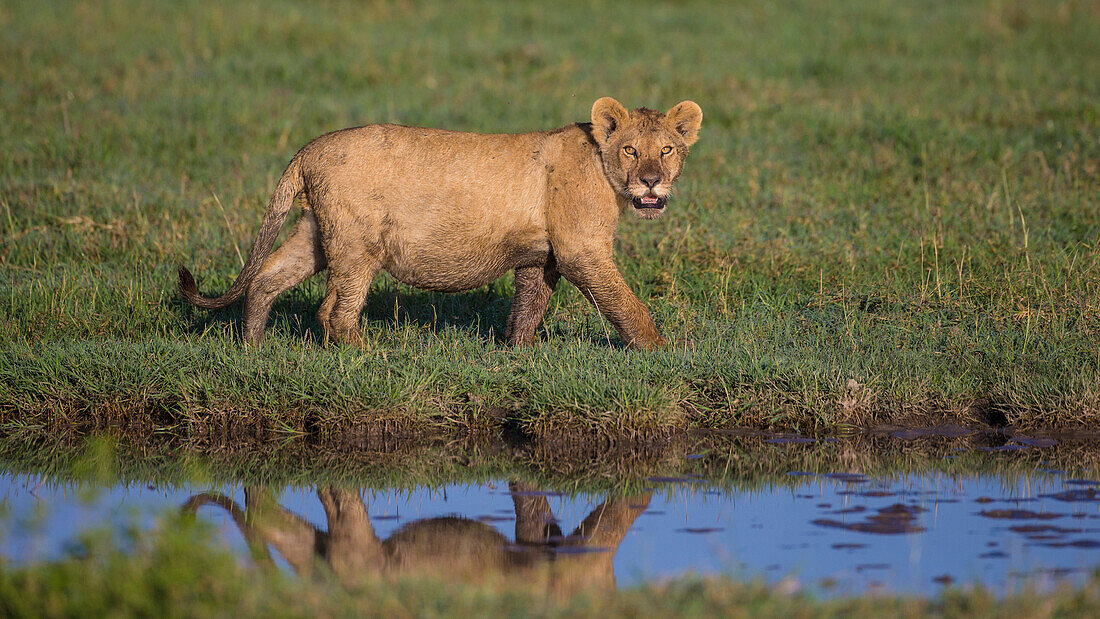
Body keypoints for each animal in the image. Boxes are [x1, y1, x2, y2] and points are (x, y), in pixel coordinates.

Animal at [176, 96, 699, 349]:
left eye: (666, 149)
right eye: (630, 149)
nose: (651, 181)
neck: (604, 170)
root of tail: (309, 148)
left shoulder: (541, 256)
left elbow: (528, 309)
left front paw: (516, 357)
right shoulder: (580, 249)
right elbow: (624, 303)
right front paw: (662, 350)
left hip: (317, 235)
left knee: (266, 277)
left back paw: (252, 348)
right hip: (359, 245)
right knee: (333, 312)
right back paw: (370, 357)